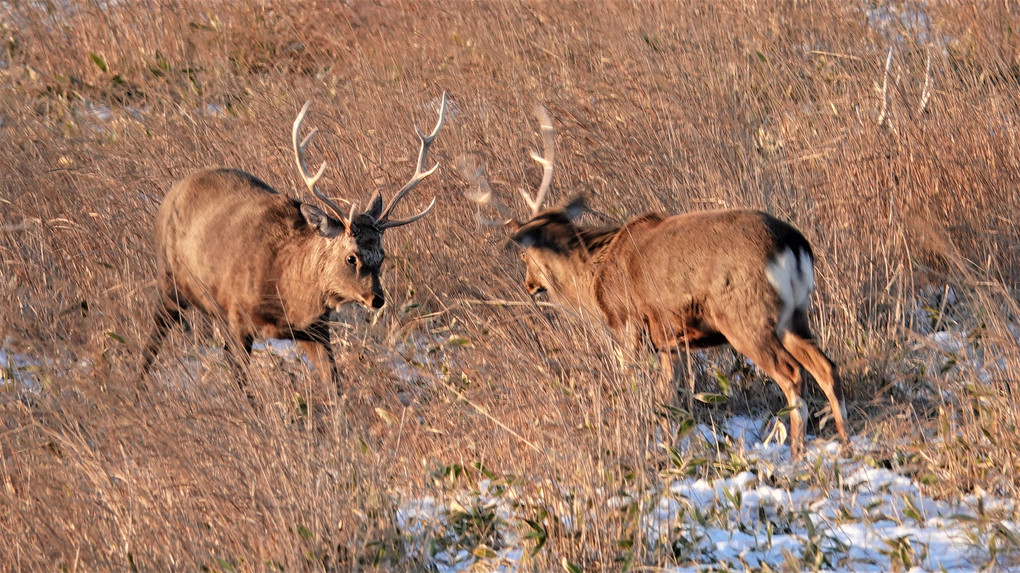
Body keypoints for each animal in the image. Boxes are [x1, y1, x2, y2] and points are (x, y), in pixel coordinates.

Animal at [145, 92, 448, 401]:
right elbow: (241, 376)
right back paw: (137, 387)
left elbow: (334, 385)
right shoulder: (238, 314)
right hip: (169, 278)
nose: (376, 299)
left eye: (382, 256)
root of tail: (175, 190)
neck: (286, 290)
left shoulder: (316, 329)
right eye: (351, 258)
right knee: (154, 337)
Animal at [459, 105, 848, 456]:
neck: (593, 274)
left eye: (525, 256)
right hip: (795, 314)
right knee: (825, 366)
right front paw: (672, 444)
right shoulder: (670, 341)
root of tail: (792, 244)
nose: (529, 285)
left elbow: (639, 390)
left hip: (745, 316)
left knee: (792, 374)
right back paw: (843, 441)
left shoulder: (628, 326)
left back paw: (797, 450)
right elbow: (669, 398)